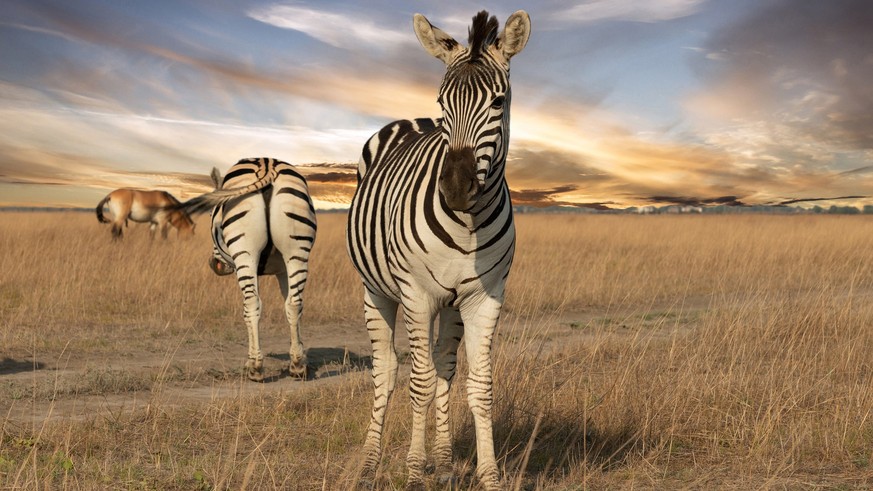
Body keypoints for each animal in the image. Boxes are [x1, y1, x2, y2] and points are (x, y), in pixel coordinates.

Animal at [183, 160, 316, 382]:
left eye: (211, 215)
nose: (216, 265)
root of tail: (268, 165)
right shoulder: (282, 270)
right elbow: (290, 306)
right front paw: (300, 356)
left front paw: (252, 362)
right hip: (296, 251)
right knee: (295, 303)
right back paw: (297, 366)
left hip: (245, 252)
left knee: (252, 304)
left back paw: (255, 368)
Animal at [344, 9, 528, 490]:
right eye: (443, 104)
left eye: (499, 102)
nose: (456, 189)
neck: (467, 226)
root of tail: (410, 121)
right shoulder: (416, 293)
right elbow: (420, 383)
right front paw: (413, 470)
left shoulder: (485, 296)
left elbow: (478, 384)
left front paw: (488, 475)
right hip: (378, 292)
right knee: (388, 370)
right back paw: (369, 463)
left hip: (451, 303)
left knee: (445, 364)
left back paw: (443, 462)